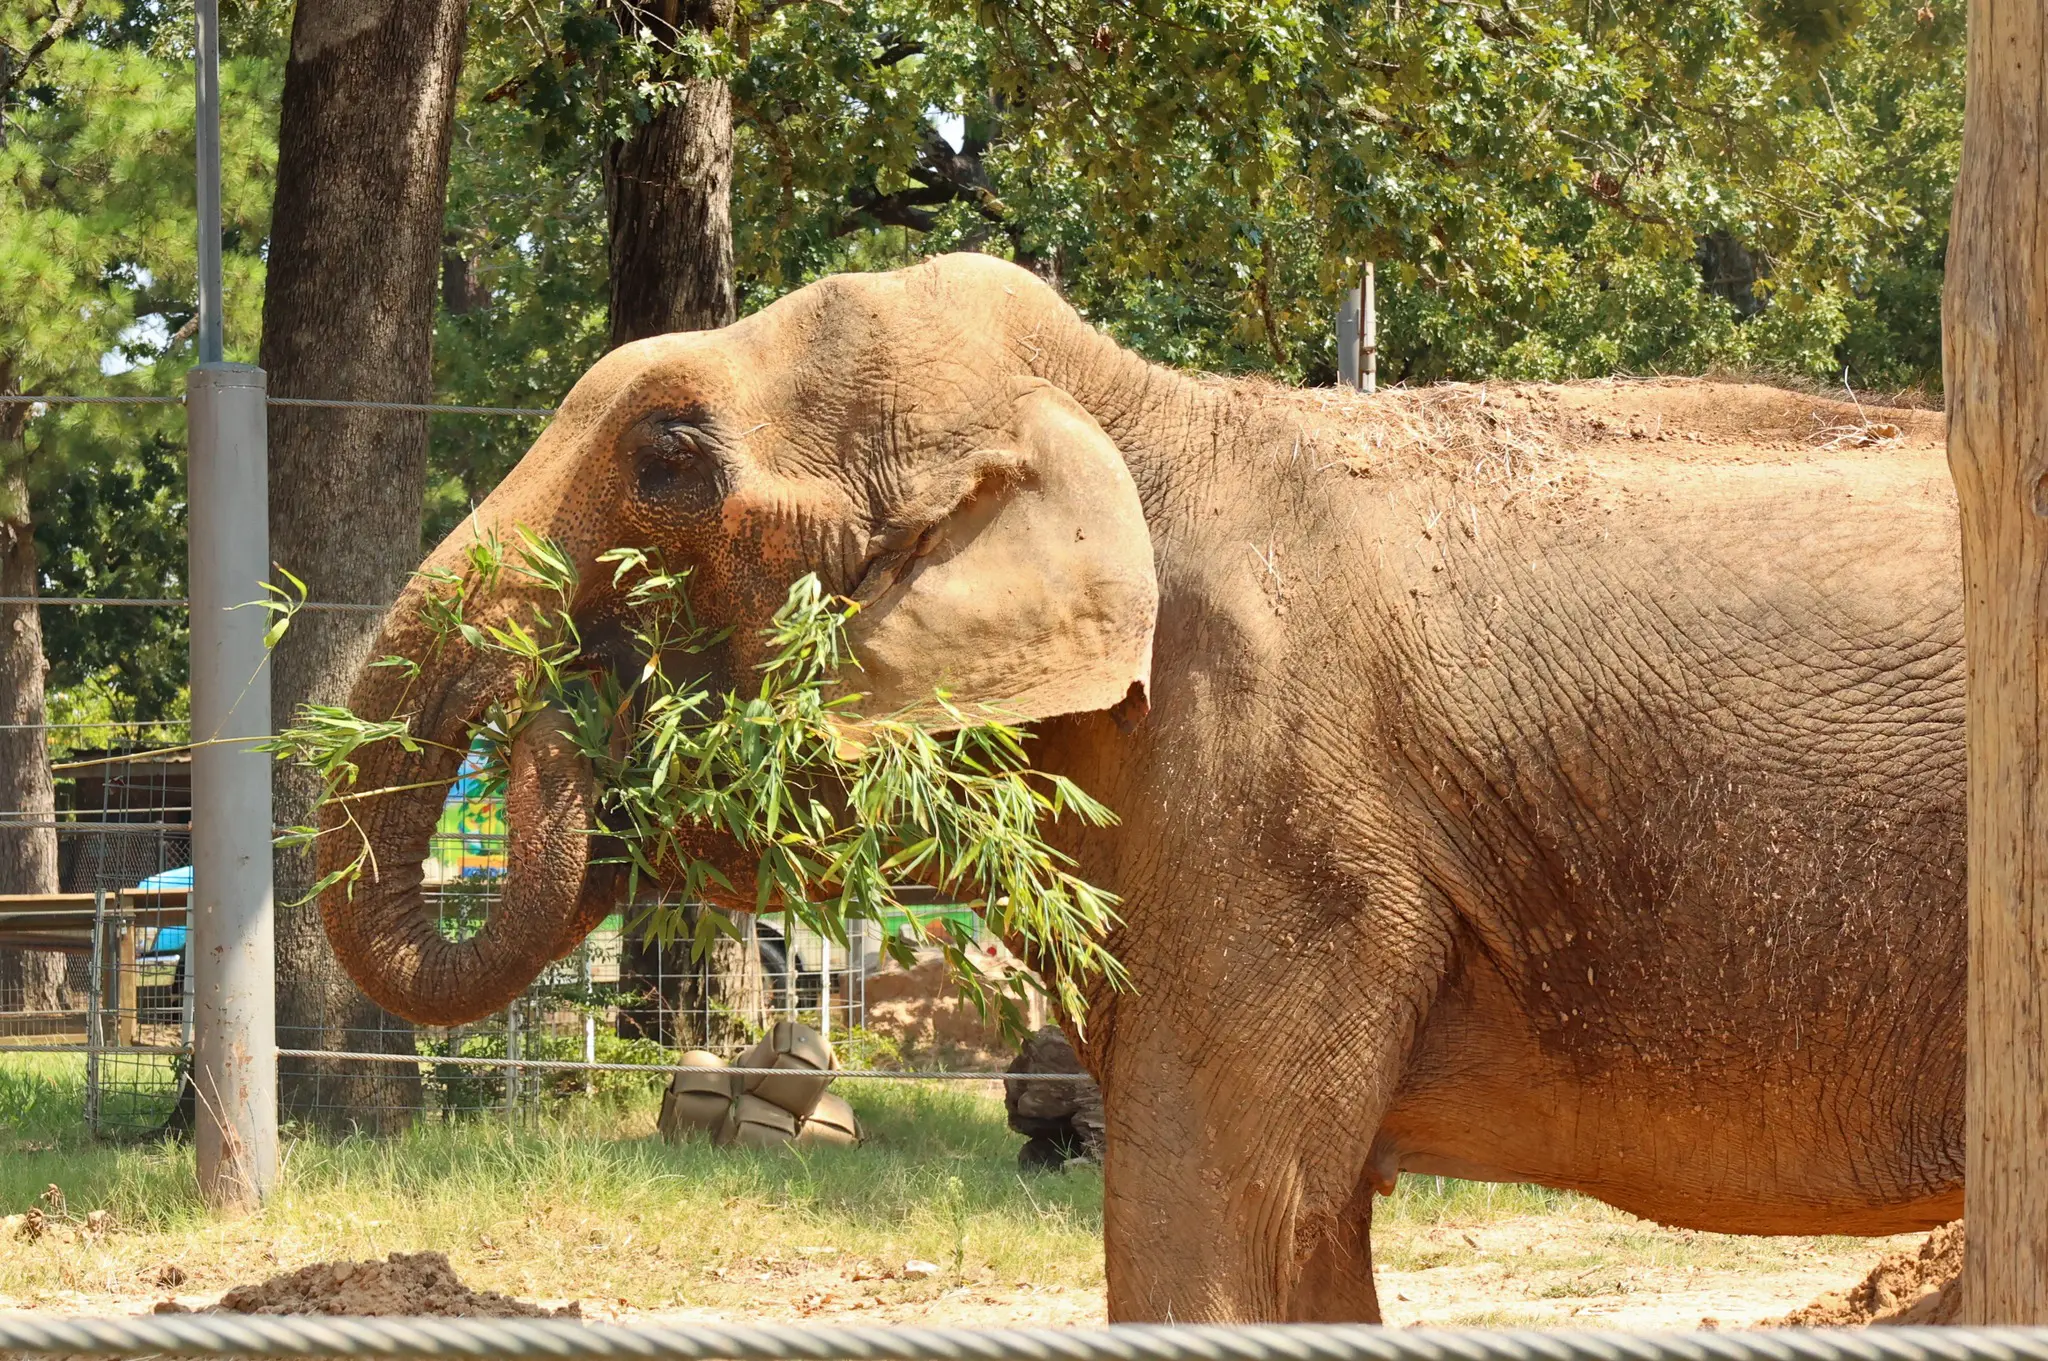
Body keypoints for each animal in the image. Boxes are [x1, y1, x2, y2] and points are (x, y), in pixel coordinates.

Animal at [320, 253, 1966, 1322]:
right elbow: (1303, 1239)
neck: (1130, 410)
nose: (562, 720)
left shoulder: (1273, 809)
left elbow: (1210, 1221)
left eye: (667, 455)